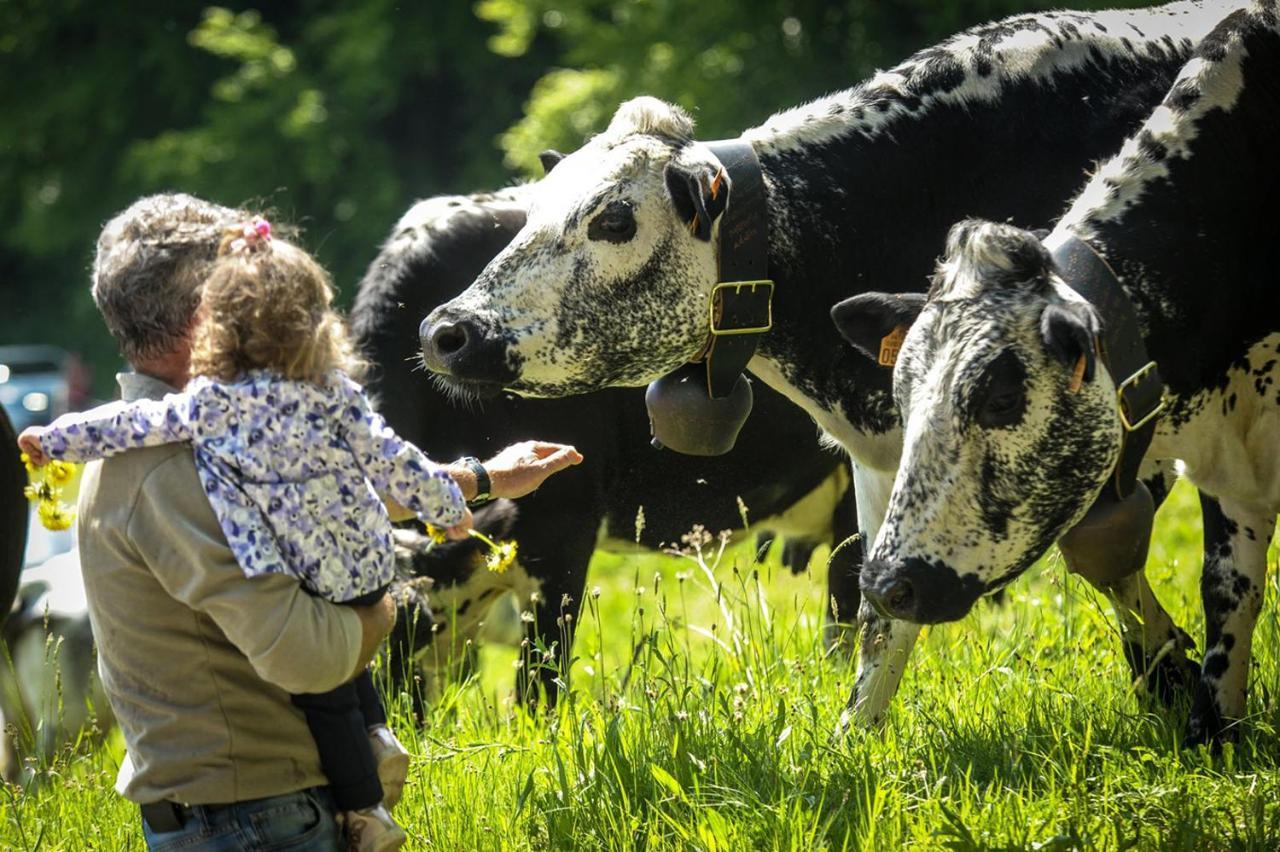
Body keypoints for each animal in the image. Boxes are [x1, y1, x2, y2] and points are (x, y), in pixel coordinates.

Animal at [417, 4, 1228, 721]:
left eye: (613, 219)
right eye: (530, 210)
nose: (446, 331)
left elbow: (1115, 561)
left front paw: (1173, 680)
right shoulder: (881, 468)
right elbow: (877, 615)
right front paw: (855, 739)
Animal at [839, 1, 1280, 741]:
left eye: (998, 396)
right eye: (900, 398)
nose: (885, 585)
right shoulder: (1232, 472)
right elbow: (1227, 591)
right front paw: (1211, 733)